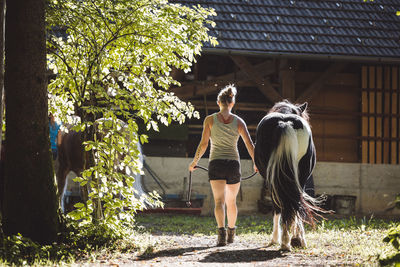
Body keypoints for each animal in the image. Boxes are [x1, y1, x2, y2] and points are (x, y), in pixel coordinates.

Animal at [256, 99, 322, 252]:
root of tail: (285, 123)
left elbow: (277, 209)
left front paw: (276, 238)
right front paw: (296, 238)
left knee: (285, 204)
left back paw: (286, 242)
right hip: (300, 176)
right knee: (295, 202)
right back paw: (293, 240)